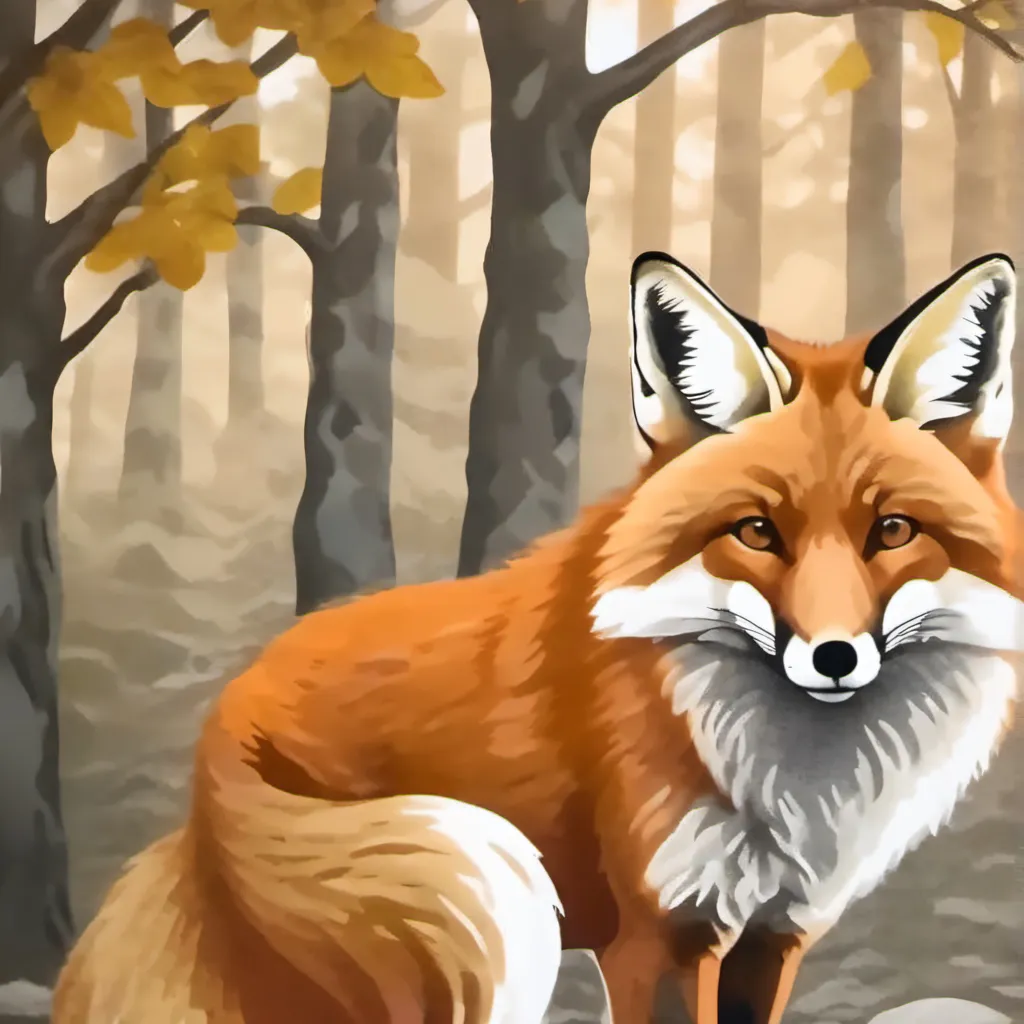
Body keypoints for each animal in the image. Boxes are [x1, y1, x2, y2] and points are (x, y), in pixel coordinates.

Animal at [54, 251, 1024, 1024]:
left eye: (891, 532)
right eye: (756, 532)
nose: (833, 657)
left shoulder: (769, 936)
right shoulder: (660, 935)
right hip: (482, 887)